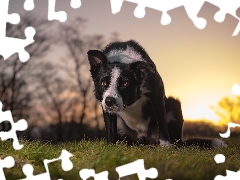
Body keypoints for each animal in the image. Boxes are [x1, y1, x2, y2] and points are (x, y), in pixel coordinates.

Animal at [87, 39, 225, 148]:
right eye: (103, 82)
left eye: (125, 83)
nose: (110, 101)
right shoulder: (103, 101)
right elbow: (110, 128)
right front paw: (111, 146)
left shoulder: (157, 93)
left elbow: (161, 121)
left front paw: (165, 146)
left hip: (174, 104)